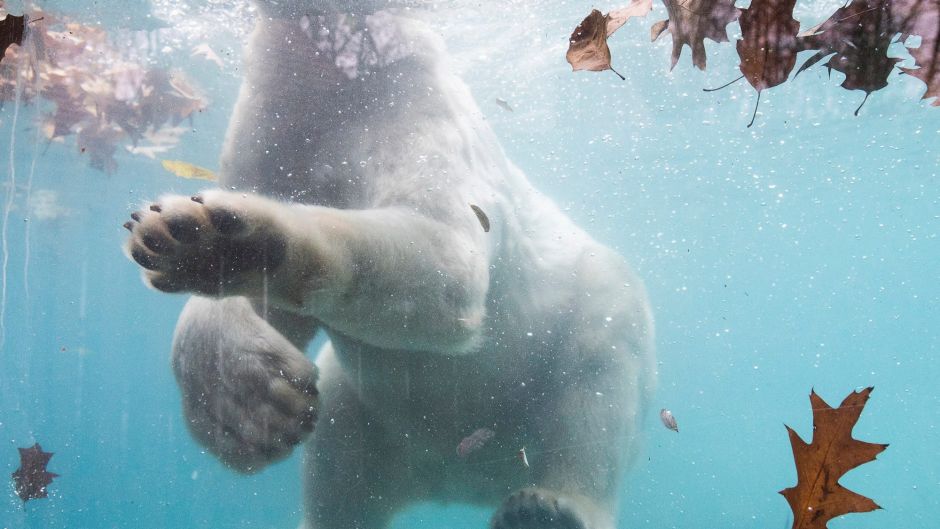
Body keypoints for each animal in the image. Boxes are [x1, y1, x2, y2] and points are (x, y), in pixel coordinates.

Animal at [123, 2, 652, 524]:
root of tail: (459, 480)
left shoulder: (412, 103)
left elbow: (444, 254)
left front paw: (230, 243)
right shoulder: (273, 125)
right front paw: (246, 407)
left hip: (589, 321)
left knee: (596, 385)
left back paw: (549, 508)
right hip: (371, 417)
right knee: (339, 462)